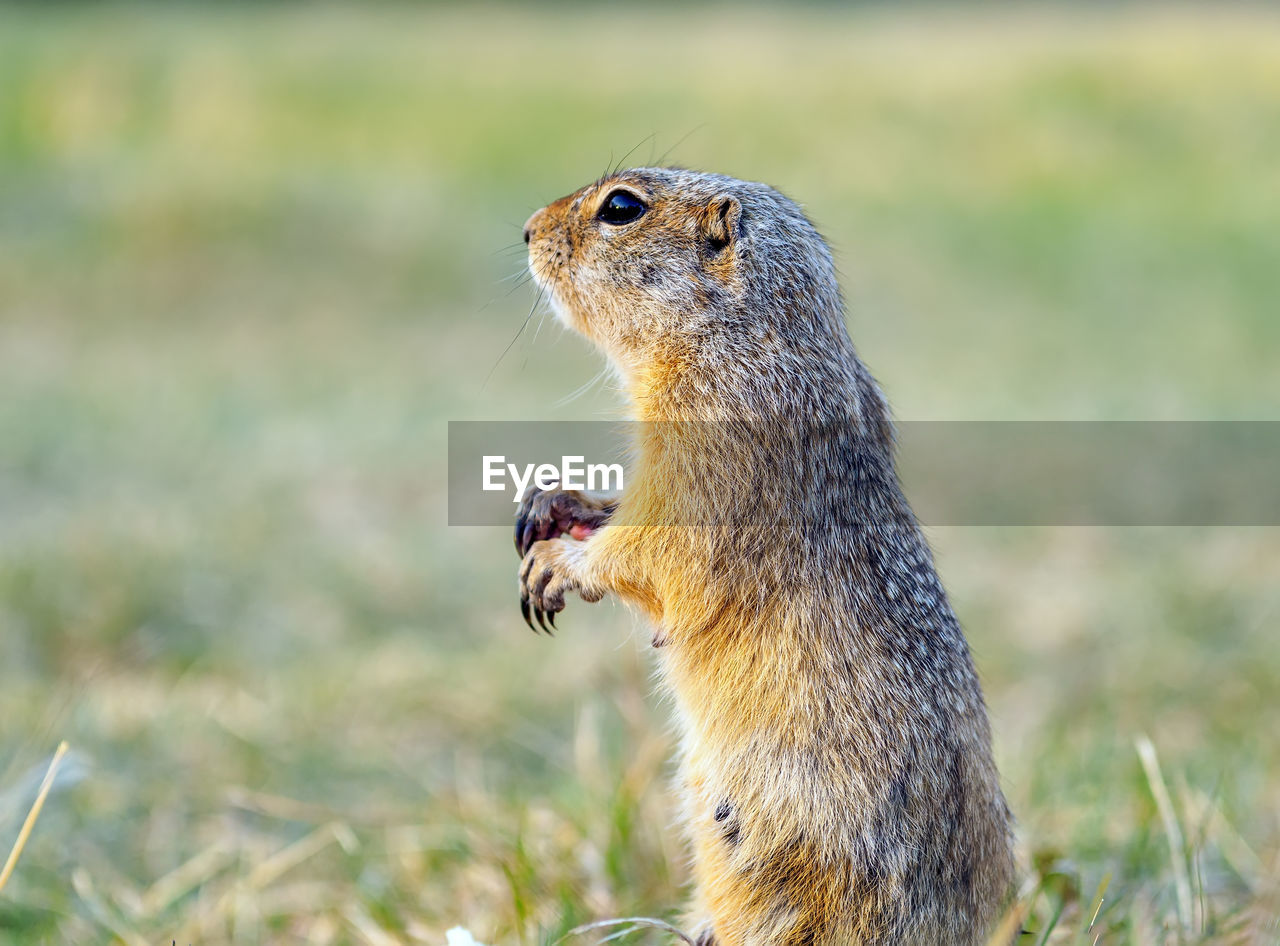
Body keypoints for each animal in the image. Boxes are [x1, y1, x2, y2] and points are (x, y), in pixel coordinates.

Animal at [514, 170, 1013, 946]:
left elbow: (660, 549)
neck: (746, 333)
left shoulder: (708, 446)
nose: (528, 229)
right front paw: (554, 503)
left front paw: (559, 563)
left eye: (621, 207)